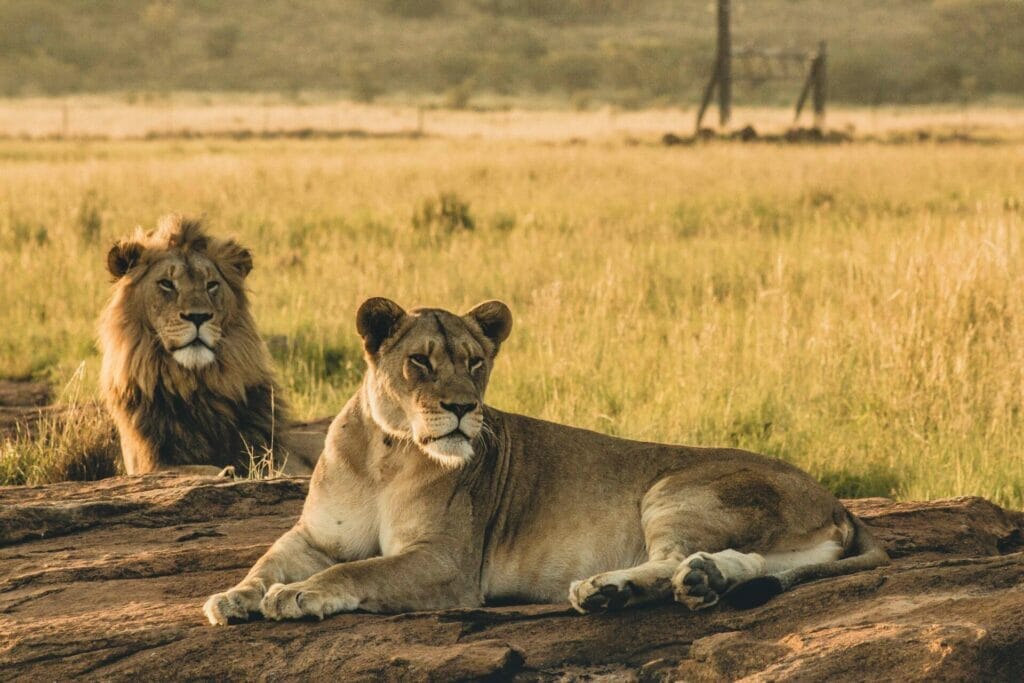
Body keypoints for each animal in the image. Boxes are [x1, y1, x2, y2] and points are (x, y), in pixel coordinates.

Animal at [100, 216, 317, 479]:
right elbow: (193, 469)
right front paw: (225, 472)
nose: (198, 317)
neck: (195, 385)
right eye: (166, 284)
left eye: (211, 285)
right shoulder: (148, 463)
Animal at [201, 299, 888, 626]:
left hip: (675, 488)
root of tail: (837, 502)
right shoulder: (314, 535)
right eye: (420, 361)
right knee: (743, 564)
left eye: (475, 361)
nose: (463, 407)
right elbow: (266, 563)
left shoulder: (448, 565)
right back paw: (697, 582)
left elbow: (358, 571)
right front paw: (232, 597)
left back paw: (607, 589)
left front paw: (300, 596)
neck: (386, 453)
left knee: (671, 558)